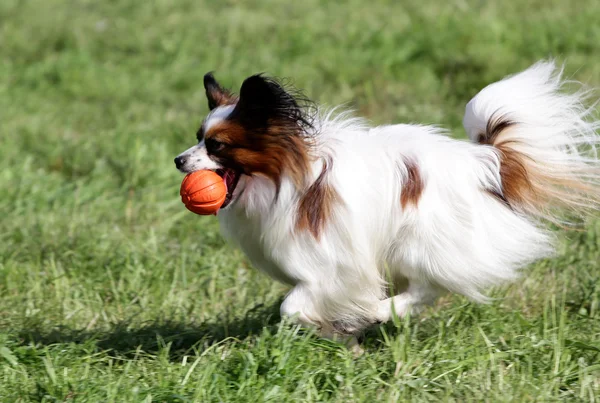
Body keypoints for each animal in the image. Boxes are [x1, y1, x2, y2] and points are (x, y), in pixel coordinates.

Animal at [175, 61, 600, 346]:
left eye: (216, 146)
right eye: (197, 137)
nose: (179, 160)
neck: (283, 179)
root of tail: (485, 164)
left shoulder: (334, 265)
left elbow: (292, 307)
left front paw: (345, 326)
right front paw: (340, 335)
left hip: (420, 241)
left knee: (426, 288)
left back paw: (380, 313)